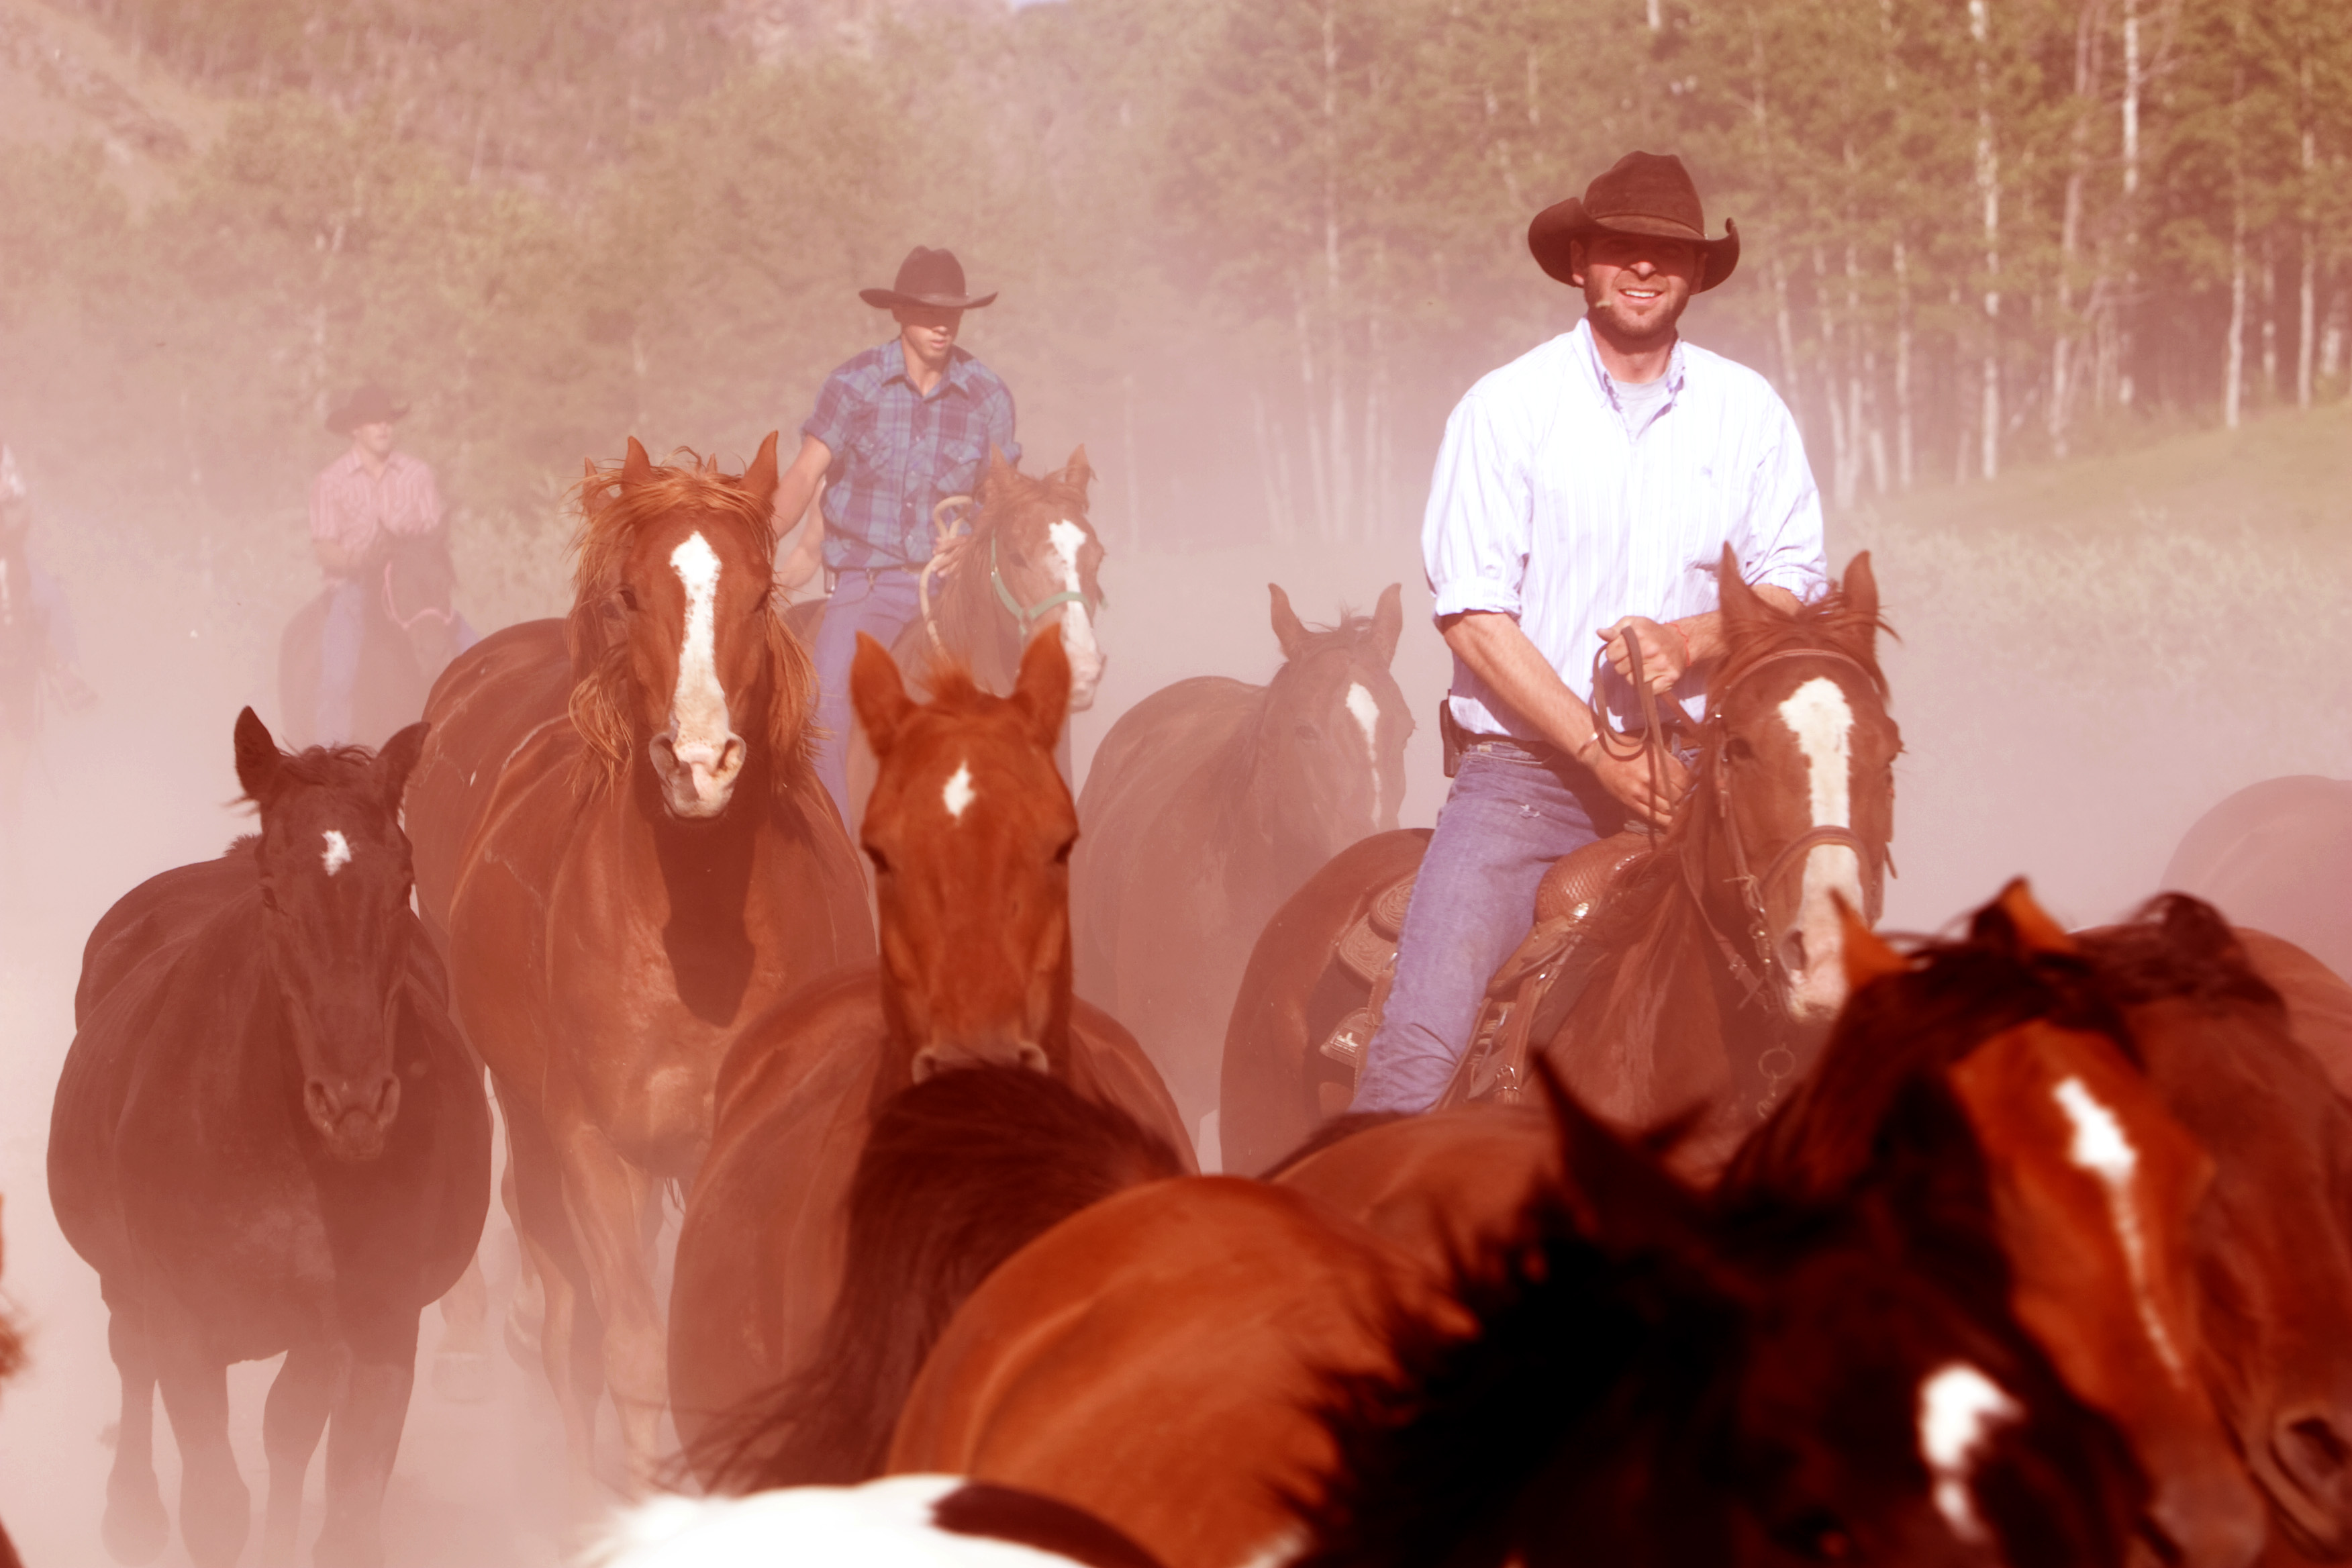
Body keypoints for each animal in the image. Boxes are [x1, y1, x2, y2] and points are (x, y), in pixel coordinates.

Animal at [48, 709, 489, 1568]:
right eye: (274, 892)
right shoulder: (182, 1323)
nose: (355, 1100)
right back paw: (132, 1509)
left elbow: (338, 1496)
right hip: (127, 1282)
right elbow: (215, 1503)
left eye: (402, 884)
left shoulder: (375, 1322)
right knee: (131, 1354)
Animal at [404, 434, 875, 1495]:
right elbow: (624, 1348)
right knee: (560, 1311)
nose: (699, 762)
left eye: (761, 594)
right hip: (532, 1126)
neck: (698, 939)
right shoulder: (595, 1147)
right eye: (631, 593)